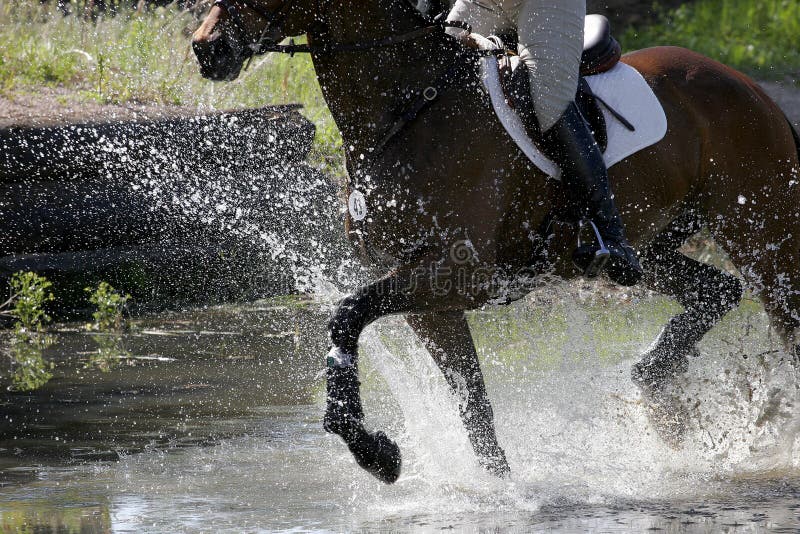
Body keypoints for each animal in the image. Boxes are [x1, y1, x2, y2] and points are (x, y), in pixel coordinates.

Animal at [192, 0, 800, 486]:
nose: (205, 48)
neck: (408, 109)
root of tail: (750, 87)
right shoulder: (429, 301)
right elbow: (472, 403)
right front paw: (495, 484)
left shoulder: (460, 275)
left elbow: (345, 314)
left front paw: (373, 452)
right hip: (650, 249)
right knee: (715, 292)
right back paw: (652, 386)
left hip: (765, 239)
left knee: (781, 322)